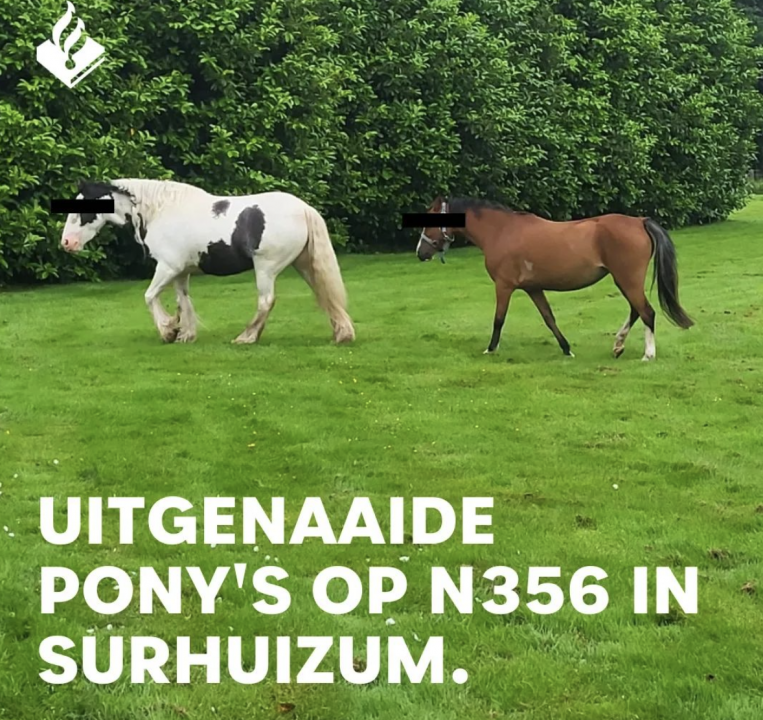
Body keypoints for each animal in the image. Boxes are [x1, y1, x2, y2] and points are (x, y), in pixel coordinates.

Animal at [59, 179, 355, 345]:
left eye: (81, 211)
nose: (67, 243)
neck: (161, 211)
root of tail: (304, 209)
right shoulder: (181, 272)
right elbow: (183, 301)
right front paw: (184, 334)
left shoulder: (167, 267)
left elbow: (150, 296)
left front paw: (168, 331)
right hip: (303, 265)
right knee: (326, 295)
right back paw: (342, 334)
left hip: (266, 268)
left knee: (266, 301)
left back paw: (246, 338)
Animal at [415, 197, 693, 361]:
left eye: (429, 220)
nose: (420, 252)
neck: (501, 231)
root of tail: (639, 221)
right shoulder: (534, 288)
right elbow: (549, 318)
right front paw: (566, 349)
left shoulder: (504, 286)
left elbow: (499, 319)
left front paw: (490, 349)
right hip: (625, 280)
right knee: (637, 311)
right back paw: (618, 345)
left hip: (627, 279)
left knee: (647, 312)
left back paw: (648, 354)